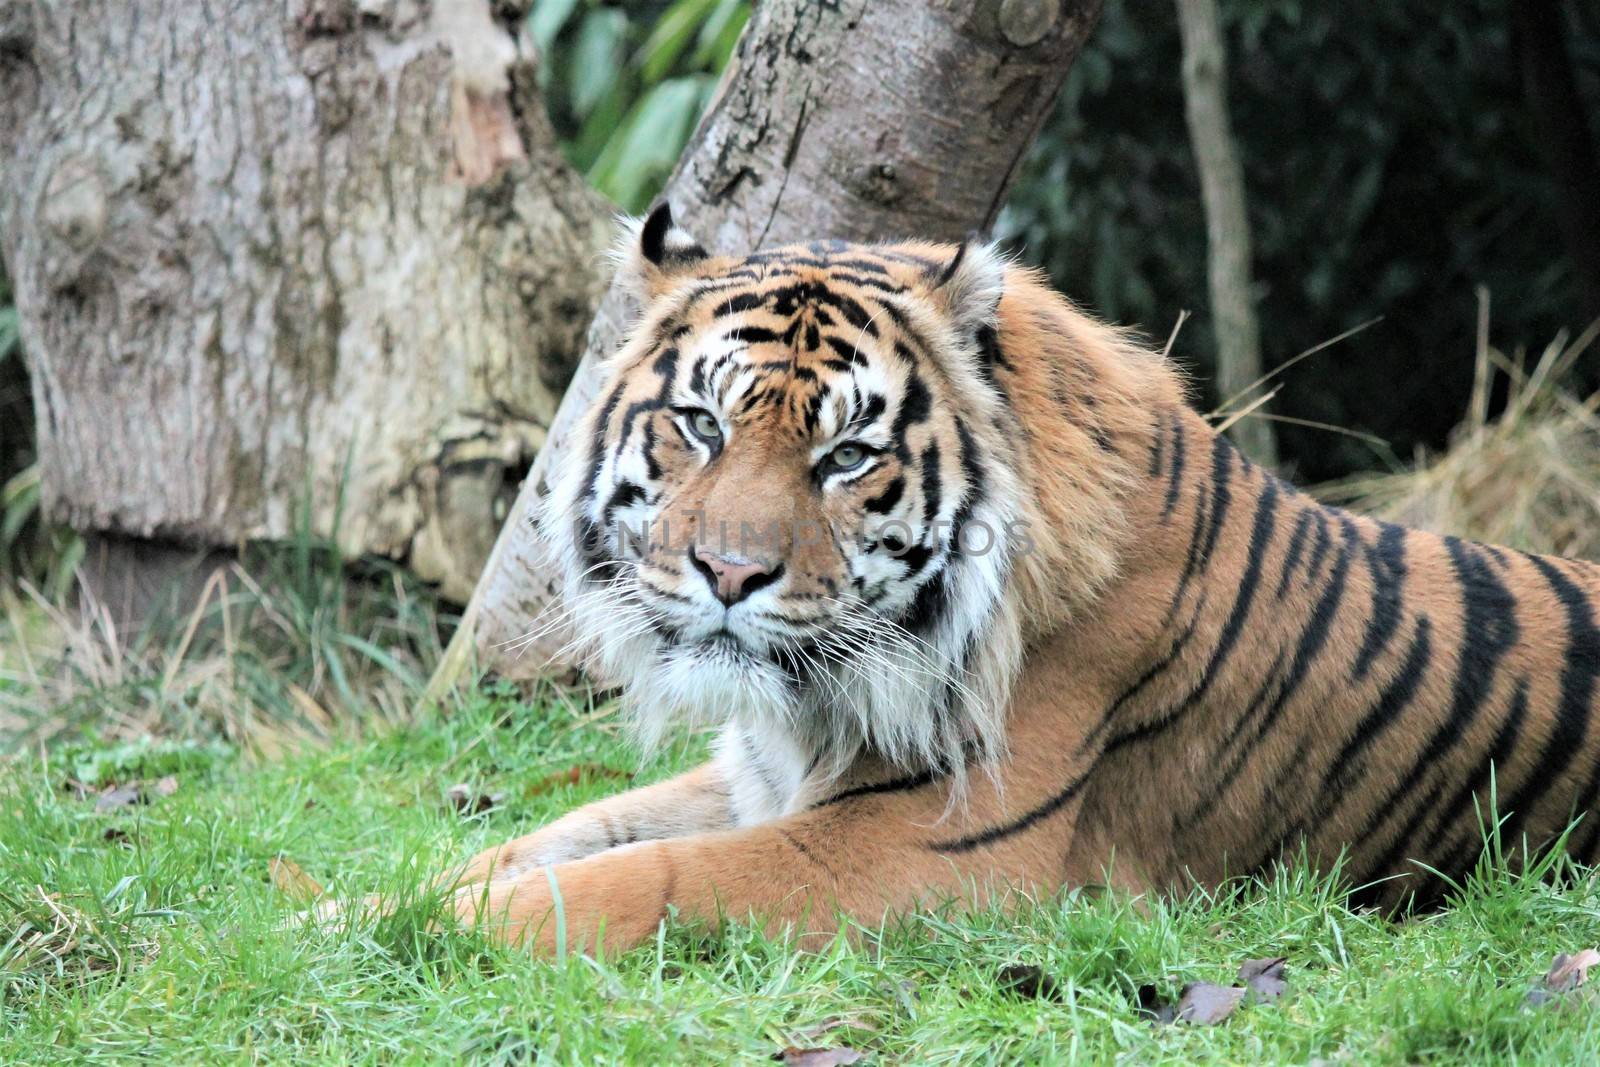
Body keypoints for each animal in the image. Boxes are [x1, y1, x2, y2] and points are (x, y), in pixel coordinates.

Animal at [360, 204, 1600, 953]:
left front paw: (394, 931)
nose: (729, 571)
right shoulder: (761, 777)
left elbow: (632, 879)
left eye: (846, 455)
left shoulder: (927, 840)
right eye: (702, 424)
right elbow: (546, 837)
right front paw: (350, 901)